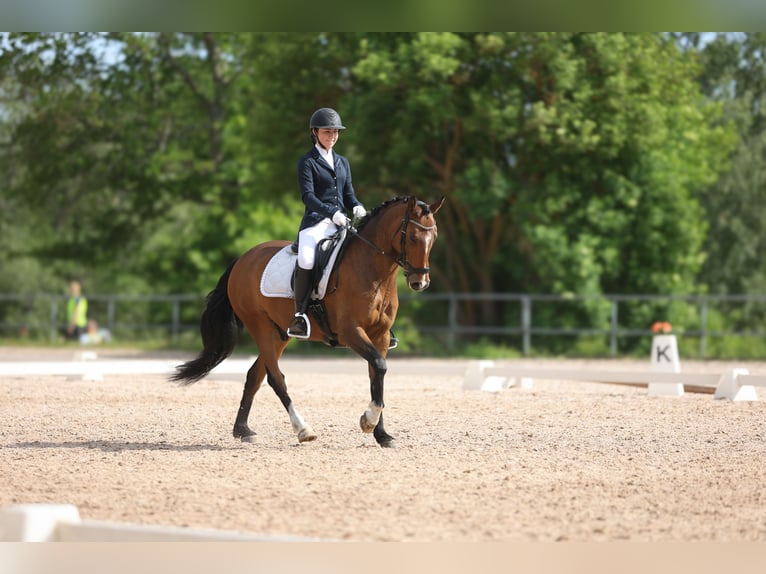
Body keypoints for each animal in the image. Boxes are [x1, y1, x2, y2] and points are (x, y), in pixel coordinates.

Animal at [172, 195, 445, 448]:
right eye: (412, 238)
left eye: (434, 238)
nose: (420, 282)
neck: (372, 271)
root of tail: (242, 259)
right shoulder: (350, 331)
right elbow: (379, 366)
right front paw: (368, 421)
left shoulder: (381, 335)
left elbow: (376, 376)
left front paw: (382, 434)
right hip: (260, 327)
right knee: (275, 378)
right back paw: (303, 429)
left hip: (280, 333)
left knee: (254, 375)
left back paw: (243, 430)